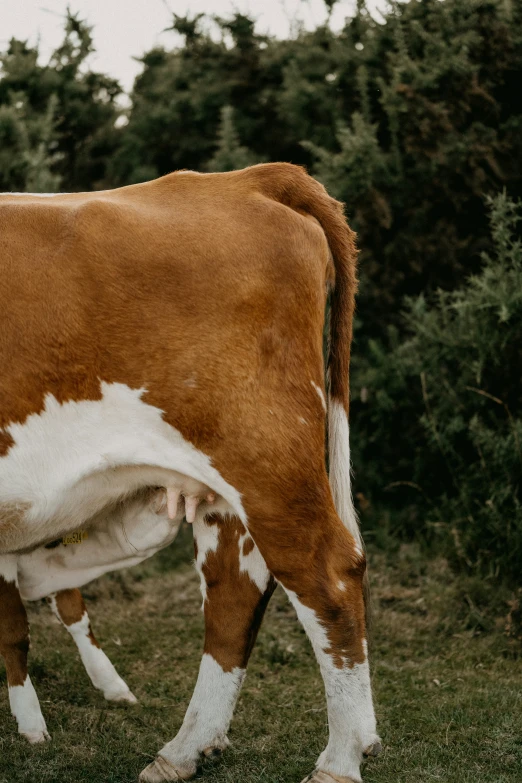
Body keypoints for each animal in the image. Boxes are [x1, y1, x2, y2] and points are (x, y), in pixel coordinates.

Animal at [1, 162, 382, 780]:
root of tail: (245, 178)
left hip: (265, 460)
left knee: (326, 574)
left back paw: (339, 758)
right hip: (226, 488)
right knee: (234, 588)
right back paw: (185, 749)